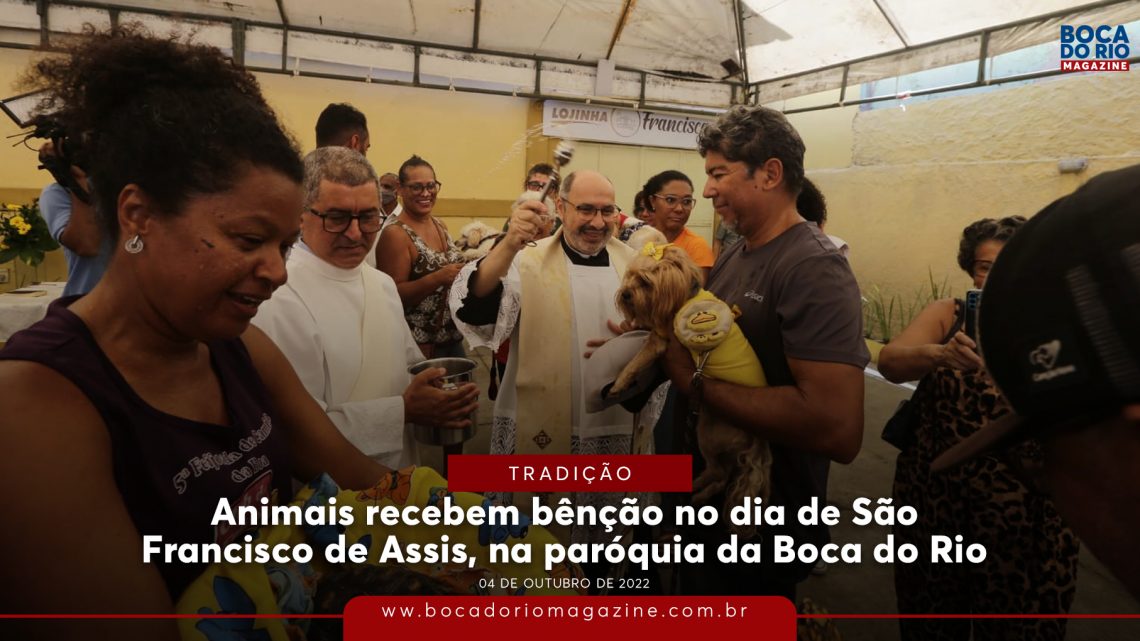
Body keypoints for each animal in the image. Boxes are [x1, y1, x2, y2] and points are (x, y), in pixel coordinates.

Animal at [611, 239, 770, 533]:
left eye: (645, 282)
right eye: (631, 276)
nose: (625, 294)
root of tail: (758, 439)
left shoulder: (659, 342)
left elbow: (635, 360)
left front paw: (620, 381)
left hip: (708, 434)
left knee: (719, 473)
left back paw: (695, 490)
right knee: (722, 475)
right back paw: (696, 491)